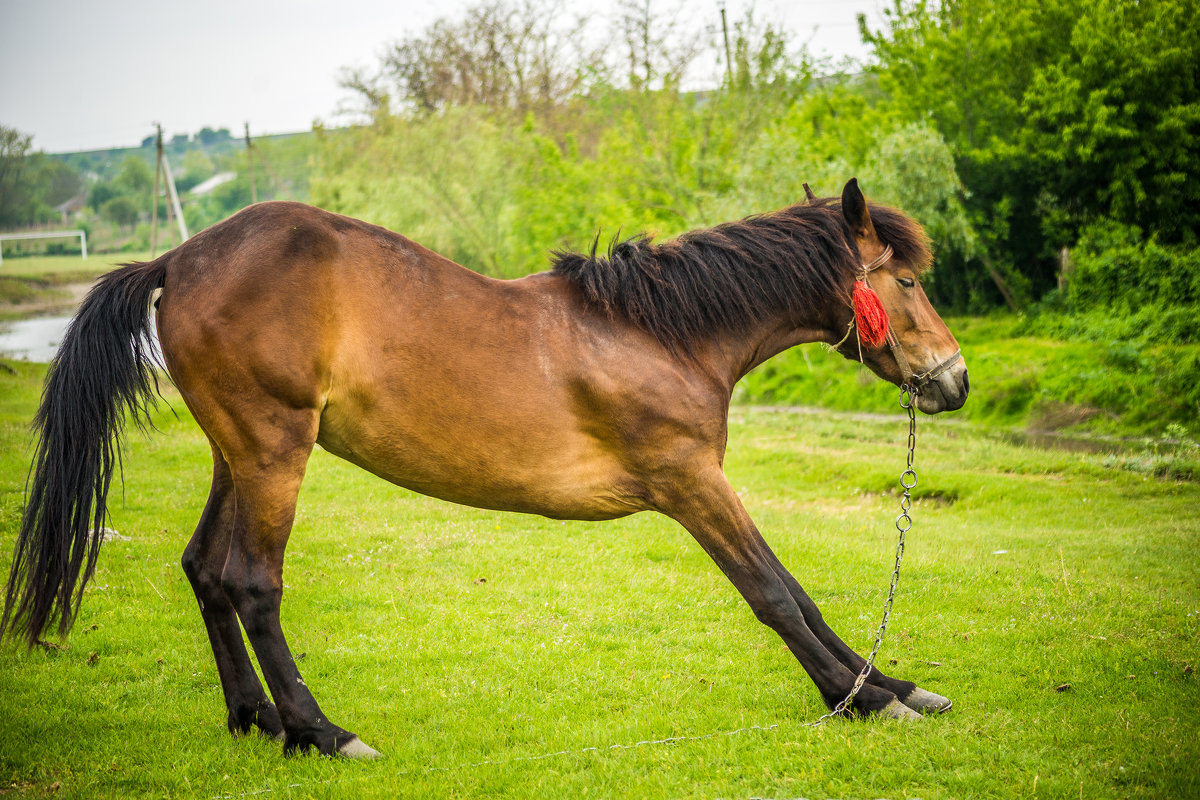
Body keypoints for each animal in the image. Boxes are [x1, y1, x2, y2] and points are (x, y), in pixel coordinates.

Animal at [2, 179, 964, 758]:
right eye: (909, 282)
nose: (953, 380)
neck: (659, 334)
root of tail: (178, 259)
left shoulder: (702, 487)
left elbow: (794, 592)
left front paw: (893, 686)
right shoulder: (692, 484)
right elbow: (775, 593)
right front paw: (862, 697)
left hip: (236, 456)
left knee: (204, 570)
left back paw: (255, 719)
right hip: (274, 453)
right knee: (250, 583)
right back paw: (322, 731)